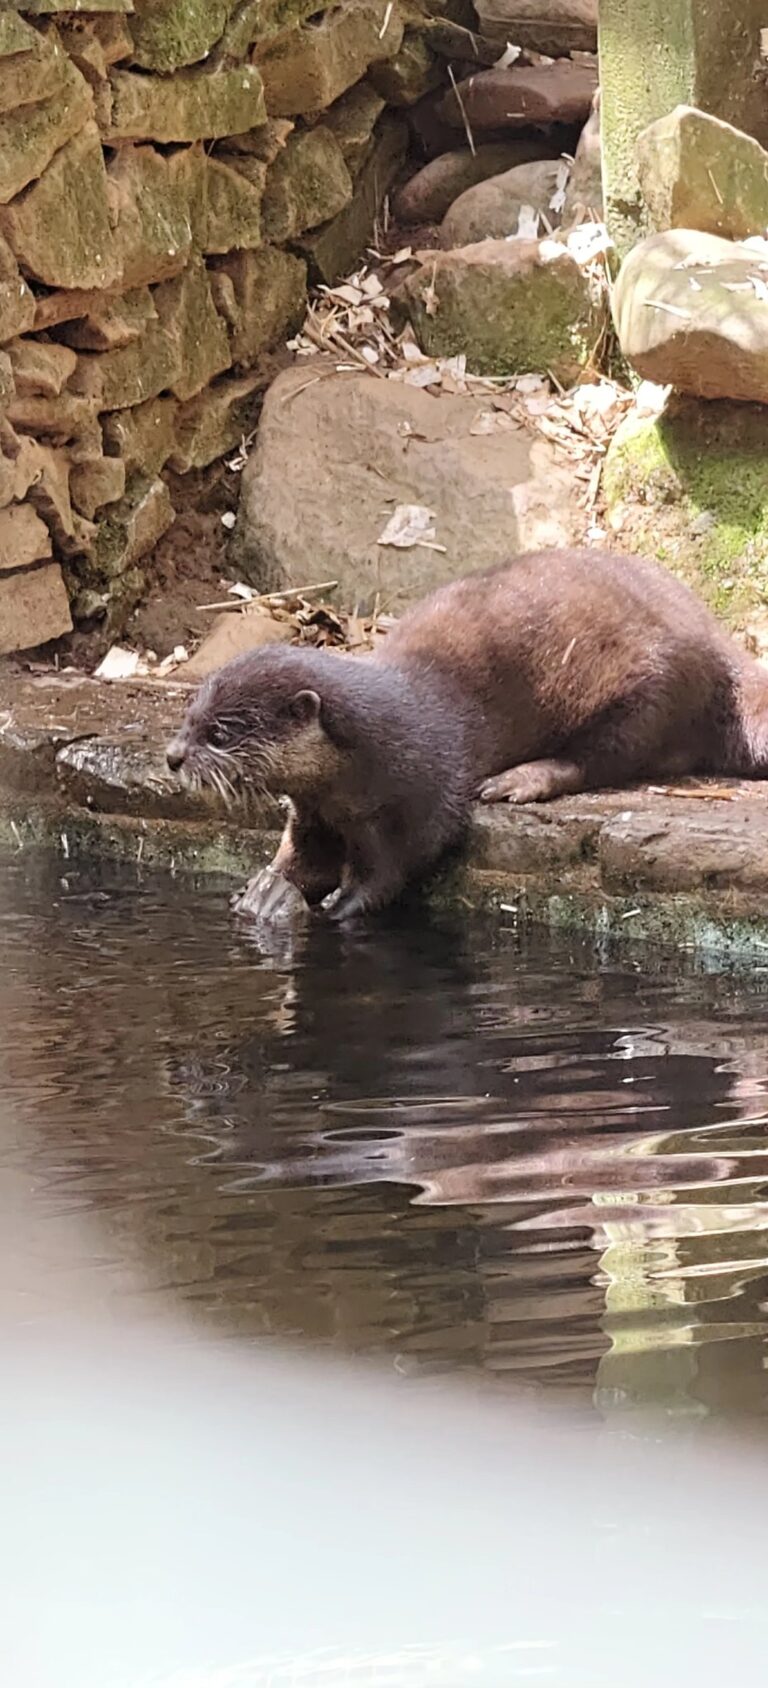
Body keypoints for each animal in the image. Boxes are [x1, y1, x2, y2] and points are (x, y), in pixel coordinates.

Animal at [166, 548, 768, 922]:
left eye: (221, 732)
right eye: (191, 715)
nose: (173, 756)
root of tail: (721, 648)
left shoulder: (418, 795)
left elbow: (398, 865)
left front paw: (338, 907)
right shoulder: (315, 814)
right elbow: (300, 861)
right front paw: (261, 888)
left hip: (650, 693)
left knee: (603, 756)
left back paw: (518, 780)